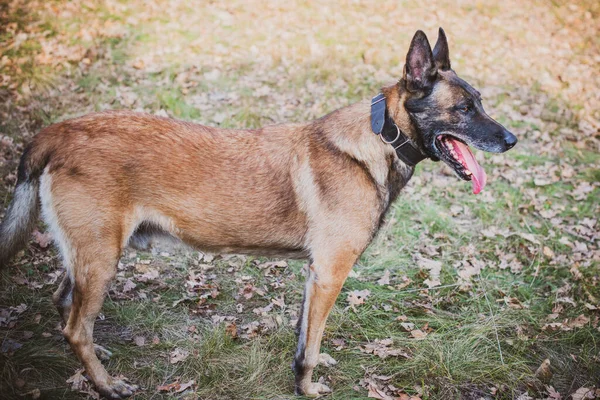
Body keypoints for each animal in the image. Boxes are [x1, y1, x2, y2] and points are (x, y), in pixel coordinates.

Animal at [0, 28, 516, 396]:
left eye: (480, 103)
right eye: (464, 108)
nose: (511, 140)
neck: (378, 138)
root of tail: (59, 131)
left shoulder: (314, 275)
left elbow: (304, 338)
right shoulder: (330, 274)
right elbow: (310, 347)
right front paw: (307, 390)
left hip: (91, 255)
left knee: (66, 306)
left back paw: (97, 362)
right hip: (102, 258)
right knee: (74, 325)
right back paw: (106, 385)